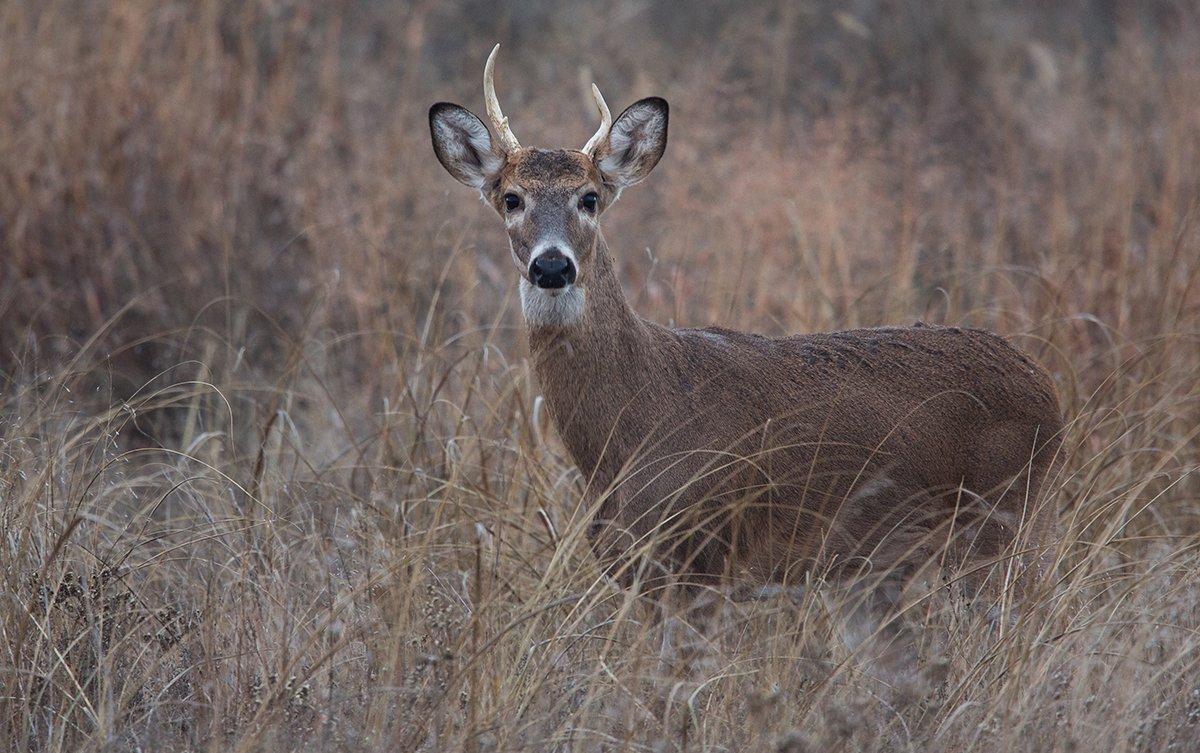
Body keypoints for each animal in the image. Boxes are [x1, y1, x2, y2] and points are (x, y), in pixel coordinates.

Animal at [427, 42, 1065, 642]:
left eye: (590, 198)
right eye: (511, 198)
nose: (553, 266)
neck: (630, 428)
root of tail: (1046, 387)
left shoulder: (700, 559)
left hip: (993, 523)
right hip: (876, 573)